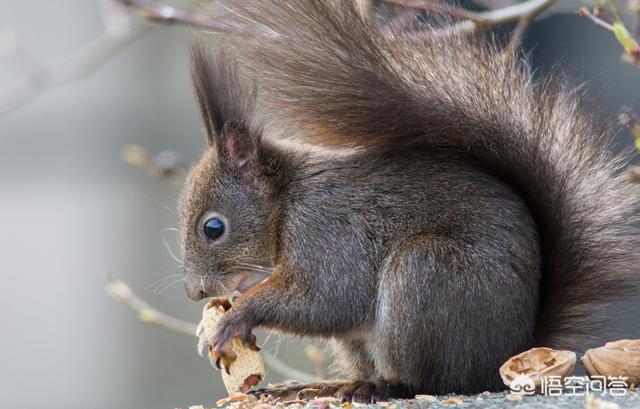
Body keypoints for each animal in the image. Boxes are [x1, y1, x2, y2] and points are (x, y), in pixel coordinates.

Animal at [178, 0, 640, 402]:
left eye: (213, 227)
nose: (195, 292)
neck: (288, 200)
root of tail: (507, 352)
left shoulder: (327, 231)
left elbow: (327, 298)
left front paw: (236, 317)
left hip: (424, 276)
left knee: (428, 381)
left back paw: (377, 387)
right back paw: (322, 386)